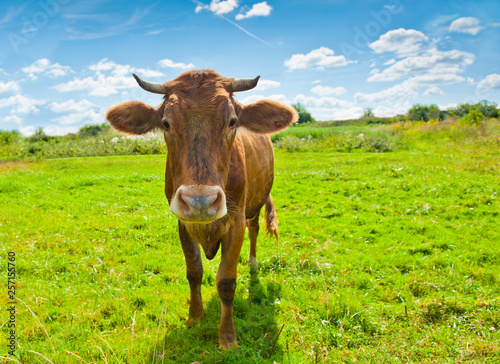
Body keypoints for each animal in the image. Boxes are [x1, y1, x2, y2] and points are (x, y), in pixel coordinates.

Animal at [105, 69, 296, 348]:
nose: (200, 202)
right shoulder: (183, 223)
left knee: (254, 230)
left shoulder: (235, 222)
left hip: (254, 206)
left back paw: (252, 264)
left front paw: (227, 337)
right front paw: (194, 317)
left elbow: (226, 281)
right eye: (166, 123)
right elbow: (194, 271)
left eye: (232, 121)